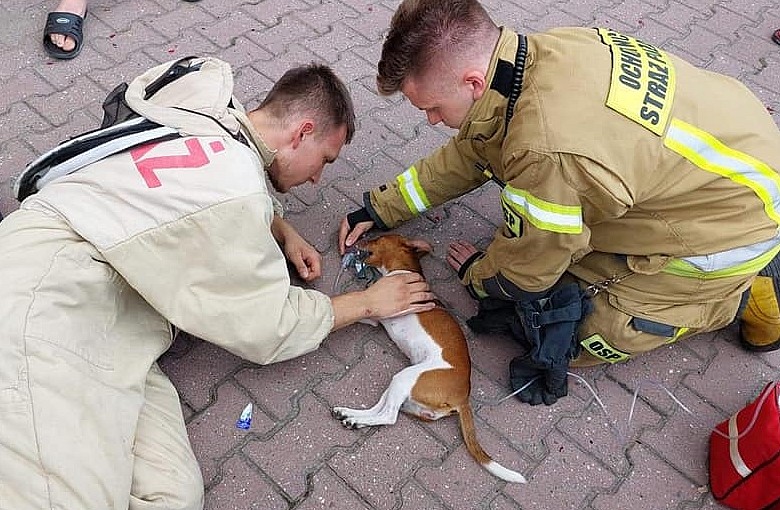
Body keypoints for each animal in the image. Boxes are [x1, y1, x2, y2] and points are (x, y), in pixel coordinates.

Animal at [332, 234, 528, 482]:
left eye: (377, 238)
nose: (358, 241)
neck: (404, 270)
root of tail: (463, 399)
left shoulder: (382, 312)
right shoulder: (376, 317)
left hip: (406, 377)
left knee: (389, 416)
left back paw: (356, 419)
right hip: (403, 386)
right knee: (380, 409)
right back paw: (351, 415)